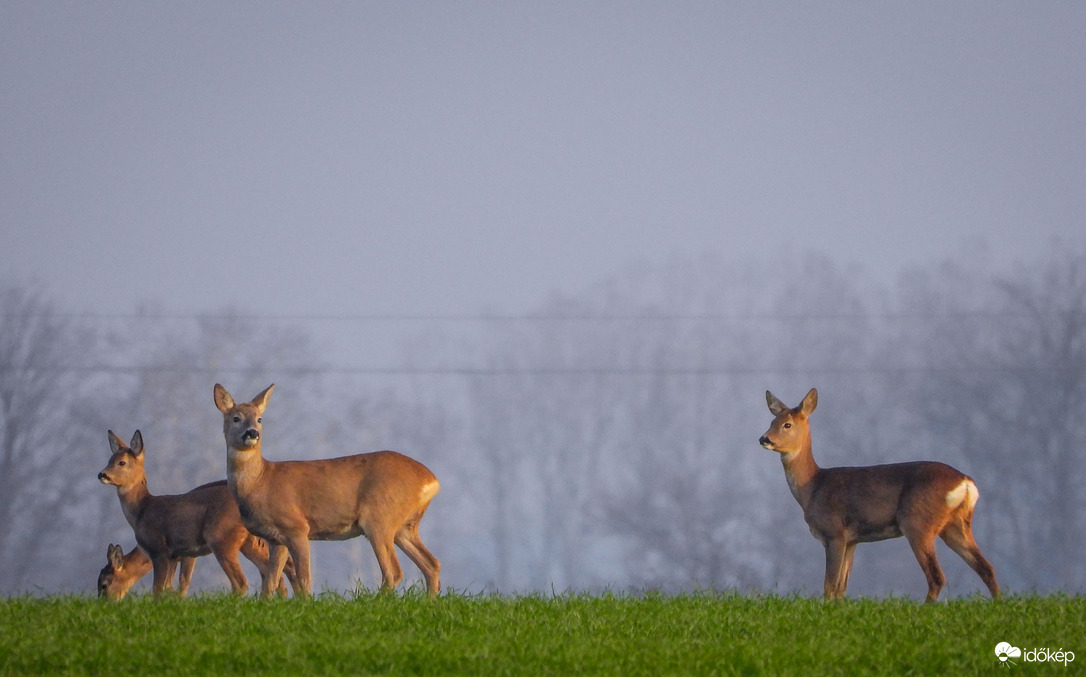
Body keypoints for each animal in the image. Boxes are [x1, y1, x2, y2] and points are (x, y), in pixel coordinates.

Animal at [97, 432, 297, 595]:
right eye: (109, 459)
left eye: (122, 462)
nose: (102, 474)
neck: (142, 510)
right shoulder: (176, 556)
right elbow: (172, 587)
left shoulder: (162, 550)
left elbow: (163, 588)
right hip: (249, 542)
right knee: (276, 571)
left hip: (222, 538)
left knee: (243, 582)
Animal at [211, 384, 440, 599]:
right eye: (236, 418)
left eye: (259, 419)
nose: (252, 433)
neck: (261, 481)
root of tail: (431, 480)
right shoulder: (276, 538)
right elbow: (271, 580)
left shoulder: (297, 527)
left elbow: (303, 577)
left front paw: (305, 603)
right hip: (404, 526)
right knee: (431, 563)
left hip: (379, 517)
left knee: (394, 571)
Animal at [755, 389, 999, 599]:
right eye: (771, 422)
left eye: (787, 424)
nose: (764, 439)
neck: (813, 487)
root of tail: (966, 482)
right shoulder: (853, 540)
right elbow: (841, 587)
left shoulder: (835, 533)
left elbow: (829, 585)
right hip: (956, 524)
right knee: (986, 567)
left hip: (918, 522)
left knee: (937, 576)